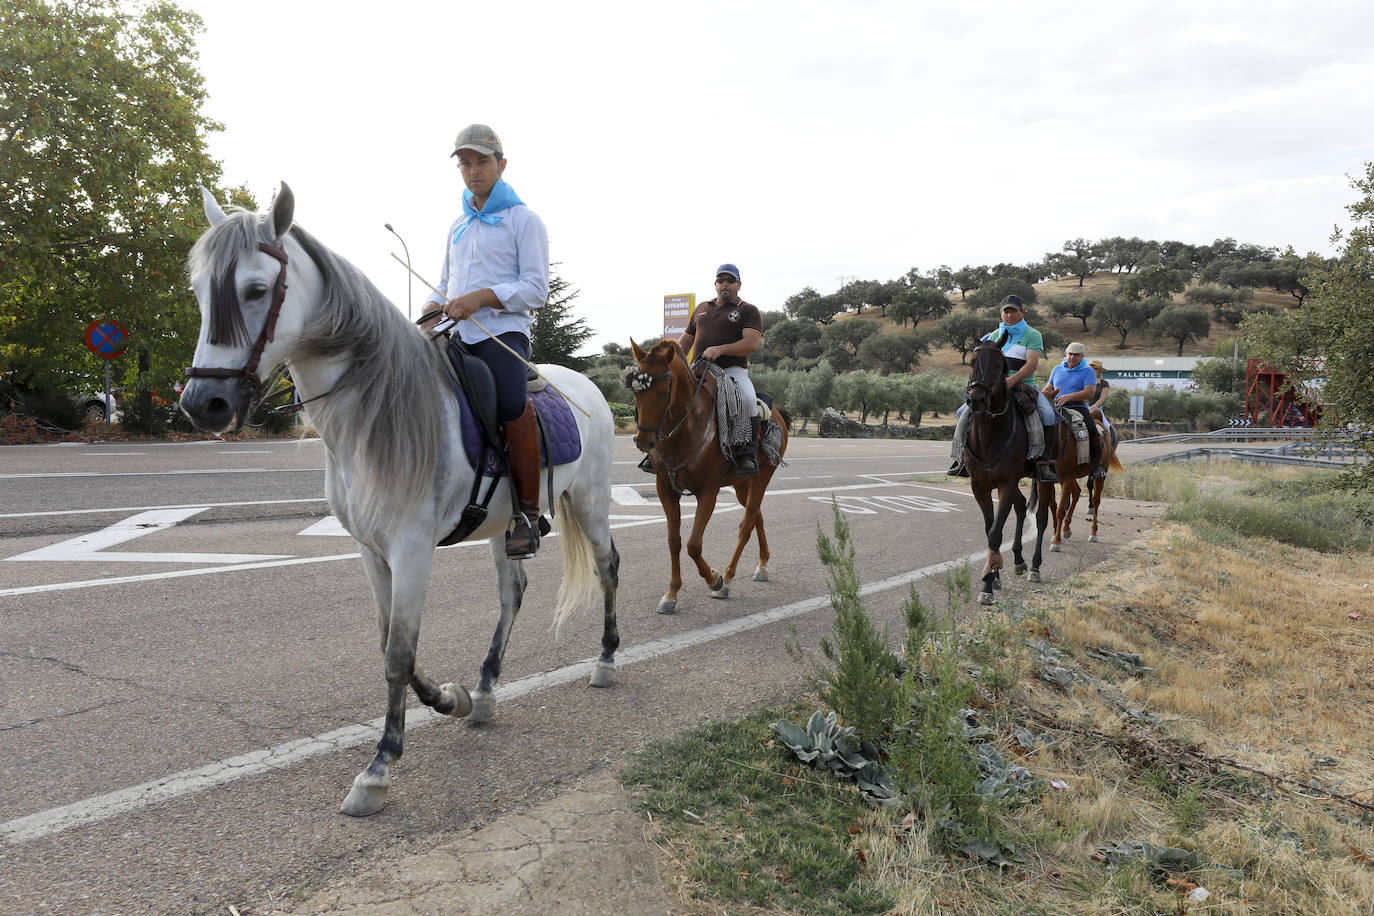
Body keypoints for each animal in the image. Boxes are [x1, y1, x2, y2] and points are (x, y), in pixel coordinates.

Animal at [179, 186, 621, 818]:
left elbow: (397, 653)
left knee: (608, 568)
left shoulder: (412, 551)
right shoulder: (373, 551)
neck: (373, 415)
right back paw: (486, 689)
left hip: (591, 503)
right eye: (197, 290)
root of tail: (588, 389)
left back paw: (606, 660)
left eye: (257, 289)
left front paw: (380, 766)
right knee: (512, 593)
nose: (203, 403)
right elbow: (389, 641)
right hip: (506, 525)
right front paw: (453, 698)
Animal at [626, 339, 791, 615]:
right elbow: (674, 541)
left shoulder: (708, 492)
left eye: (663, 392)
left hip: (762, 478)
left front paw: (714, 579)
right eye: (636, 393)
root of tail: (778, 413)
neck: (686, 429)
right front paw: (671, 594)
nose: (643, 441)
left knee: (746, 524)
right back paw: (762, 566)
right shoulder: (665, 490)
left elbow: (693, 544)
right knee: (756, 516)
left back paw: (729, 577)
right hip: (741, 484)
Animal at [967, 333, 1049, 604]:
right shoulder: (979, 486)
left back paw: (1034, 567)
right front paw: (993, 574)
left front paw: (987, 585)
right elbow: (990, 529)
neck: (990, 435)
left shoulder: (1005, 483)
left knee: (1042, 519)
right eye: (972, 362)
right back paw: (1019, 560)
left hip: (1044, 479)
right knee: (1022, 505)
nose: (976, 400)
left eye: (997, 365)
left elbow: (996, 532)